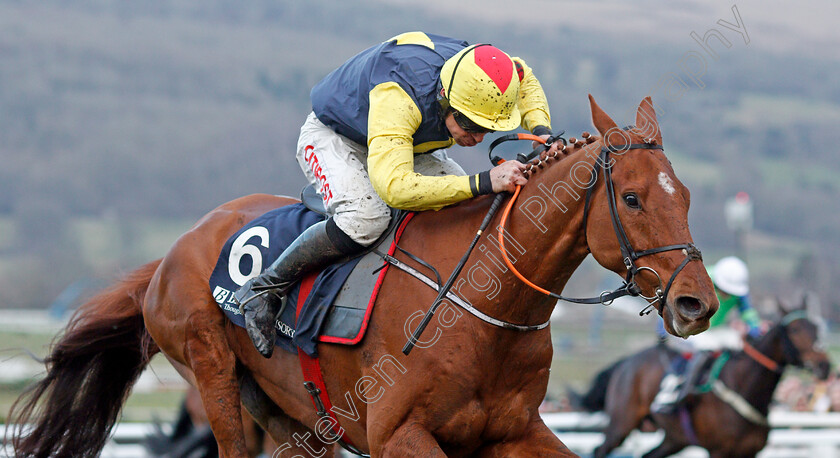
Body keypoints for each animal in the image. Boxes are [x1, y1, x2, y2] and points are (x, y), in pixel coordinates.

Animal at [4, 95, 716, 456]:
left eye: (685, 195)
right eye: (632, 199)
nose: (696, 304)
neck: (485, 305)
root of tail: (172, 254)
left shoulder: (513, 432)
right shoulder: (400, 435)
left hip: (291, 416)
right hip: (212, 378)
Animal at [580, 300, 832, 458]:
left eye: (817, 328)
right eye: (795, 330)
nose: (825, 366)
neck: (744, 387)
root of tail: (625, 362)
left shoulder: (750, 451)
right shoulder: (719, 451)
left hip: (675, 438)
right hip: (621, 424)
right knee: (600, 450)